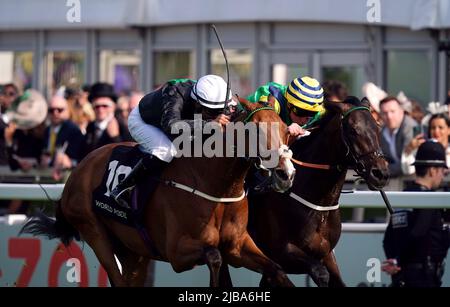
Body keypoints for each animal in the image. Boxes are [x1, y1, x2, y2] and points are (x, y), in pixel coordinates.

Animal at [21, 99, 298, 288]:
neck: (218, 187)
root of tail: (78, 170)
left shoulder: (238, 246)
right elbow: (215, 256)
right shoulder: (177, 252)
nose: (286, 173)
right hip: (94, 231)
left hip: (134, 250)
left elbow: (277, 270)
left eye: (286, 129)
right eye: (256, 130)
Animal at [220, 97, 388, 288]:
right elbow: (319, 273)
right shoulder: (282, 252)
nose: (380, 173)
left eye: (377, 127)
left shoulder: (326, 253)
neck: (318, 203)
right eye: (353, 130)